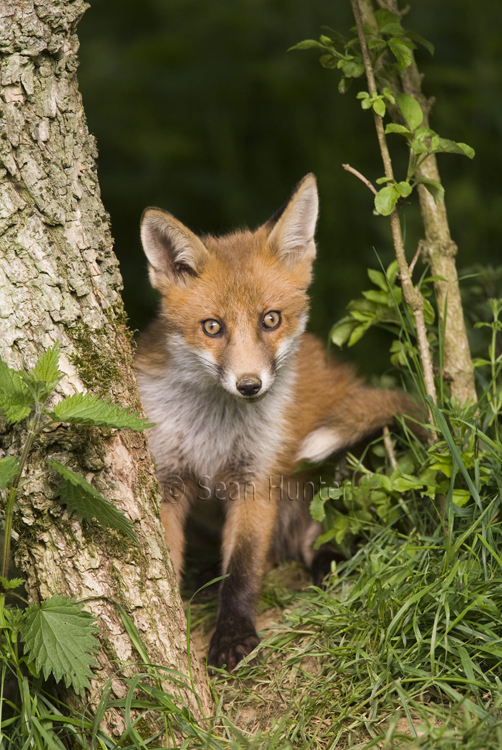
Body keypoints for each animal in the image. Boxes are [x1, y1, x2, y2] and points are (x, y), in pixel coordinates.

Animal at [135, 175, 422, 668]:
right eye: (212, 327)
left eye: (271, 319)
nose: (250, 385)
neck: (213, 428)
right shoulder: (168, 478)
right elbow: (168, 560)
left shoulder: (257, 479)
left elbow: (243, 570)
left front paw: (233, 637)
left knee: (335, 541)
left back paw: (333, 564)